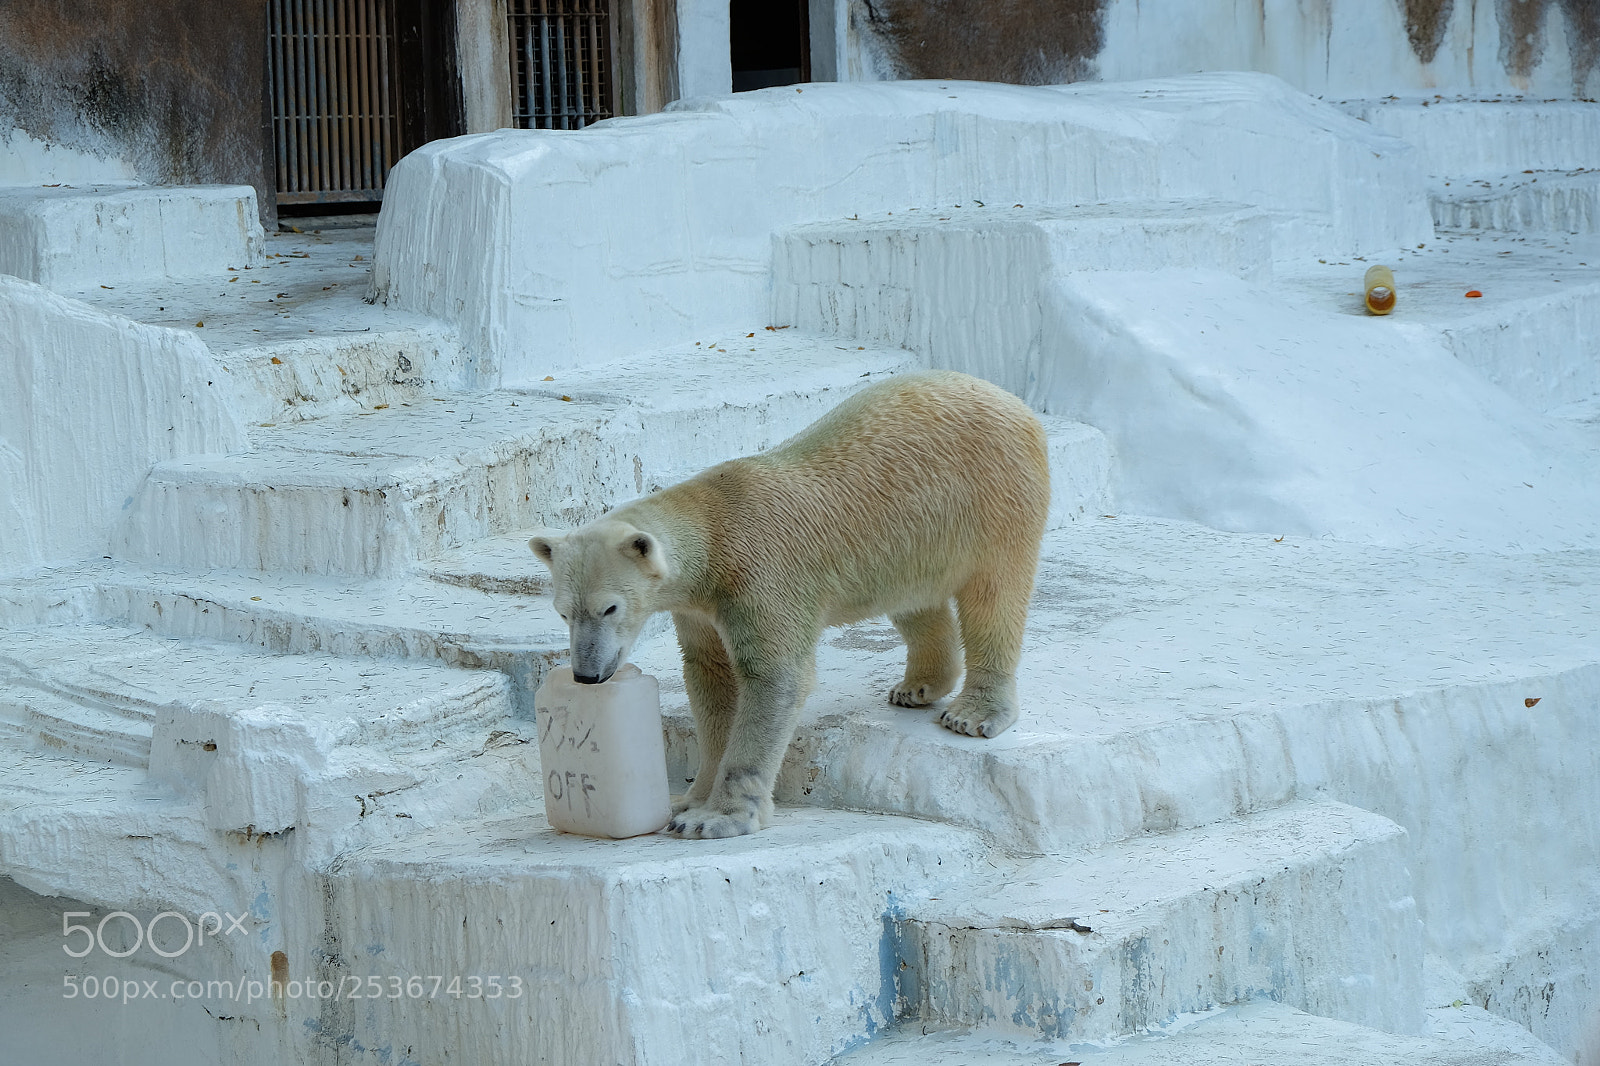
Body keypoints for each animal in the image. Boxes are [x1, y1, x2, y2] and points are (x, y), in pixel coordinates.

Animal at [528, 370, 1049, 838]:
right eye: (563, 612)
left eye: (610, 608)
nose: (586, 675)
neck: (713, 530)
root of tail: (1015, 402)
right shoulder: (699, 607)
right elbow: (711, 678)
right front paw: (689, 799)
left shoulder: (761, 578)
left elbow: (773, 678)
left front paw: (715, 819)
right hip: (915, 537)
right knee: (913, 599)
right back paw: (918, 686)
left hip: (994, 496)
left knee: (993, 597)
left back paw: (972, 713)